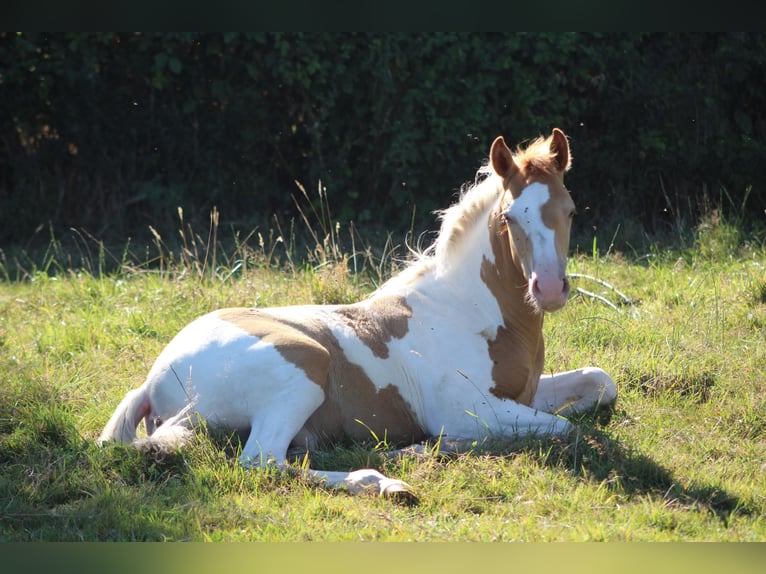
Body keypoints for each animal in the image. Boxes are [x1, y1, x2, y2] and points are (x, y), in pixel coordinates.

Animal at [100, 129, 616, 500]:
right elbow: (564, 430)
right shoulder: (466, 410)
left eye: (571, 211)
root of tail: (154, 380)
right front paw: (425, 448)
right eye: (510, 217)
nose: (549, 289)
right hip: (304, 367)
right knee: (261, 462)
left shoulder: (524, 394)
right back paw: (387, 484)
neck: (468, 311)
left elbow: (600, 383)